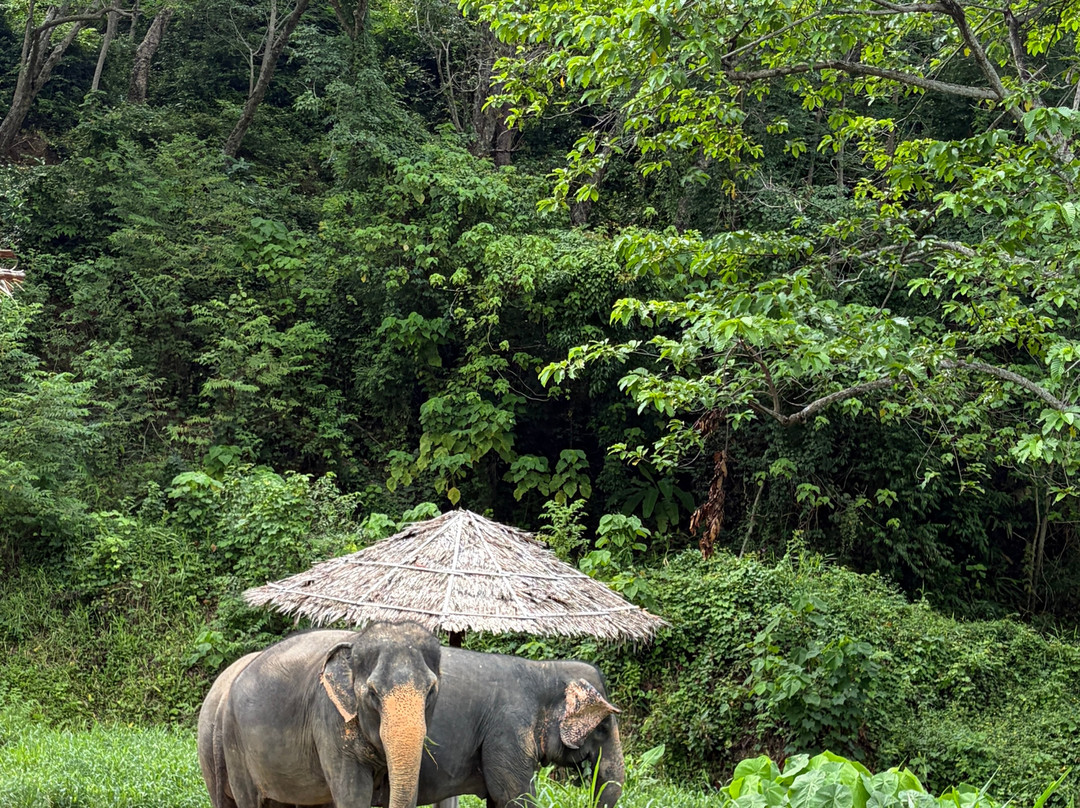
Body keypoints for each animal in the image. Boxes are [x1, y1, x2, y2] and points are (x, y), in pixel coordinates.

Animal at [196, 621, 441, 808]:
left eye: (431, 690)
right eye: (372, 693)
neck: (356, 640)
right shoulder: (328, 717)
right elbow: (353, 796)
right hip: (234, 745)